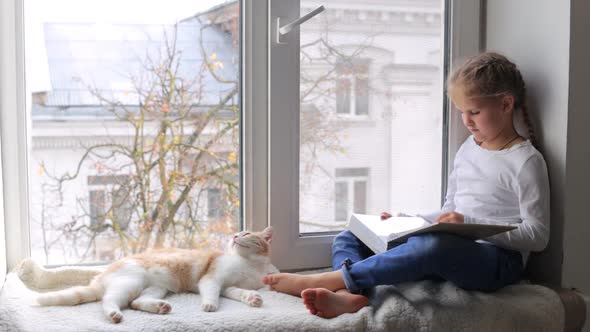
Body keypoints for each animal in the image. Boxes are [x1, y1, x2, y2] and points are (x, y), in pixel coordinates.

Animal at [17, 227, 278, 322]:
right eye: (239, 232)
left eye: (246, 233)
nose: (234, 236)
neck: (249, 265)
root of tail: (102, 276)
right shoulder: (212, 279)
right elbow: (211, 292)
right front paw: (209, 305)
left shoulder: (230, 287)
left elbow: (241, 292)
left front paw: (253, 299)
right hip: (129, 282)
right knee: (108, 301)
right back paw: (114, 314)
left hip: (157, 287)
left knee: (136, 302)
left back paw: (159, 307)